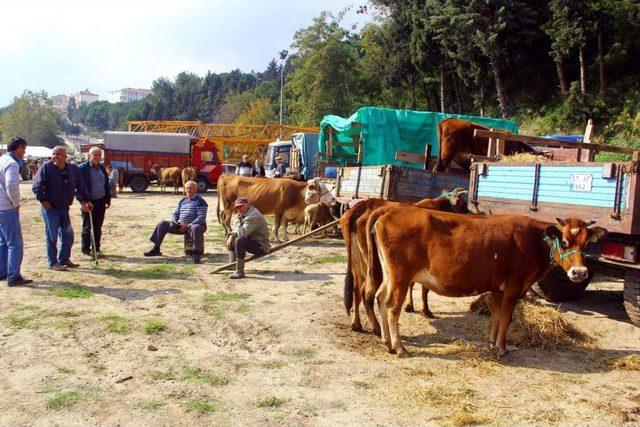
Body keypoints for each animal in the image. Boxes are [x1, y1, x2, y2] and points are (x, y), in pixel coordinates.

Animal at [364, 212, 604, 360]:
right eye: (564, 242)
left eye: (586, 244)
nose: (580, 273)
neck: (534, 240)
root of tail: (388, 212)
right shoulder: (513, 287)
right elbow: (506, 318)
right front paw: (502, 348)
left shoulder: (497, 288)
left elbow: (496, 317)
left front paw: (491, 343)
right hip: (401, 276)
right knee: (393, 307)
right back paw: (399, 347)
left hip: (390, 275)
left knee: (380, 299)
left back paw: (387, 342)